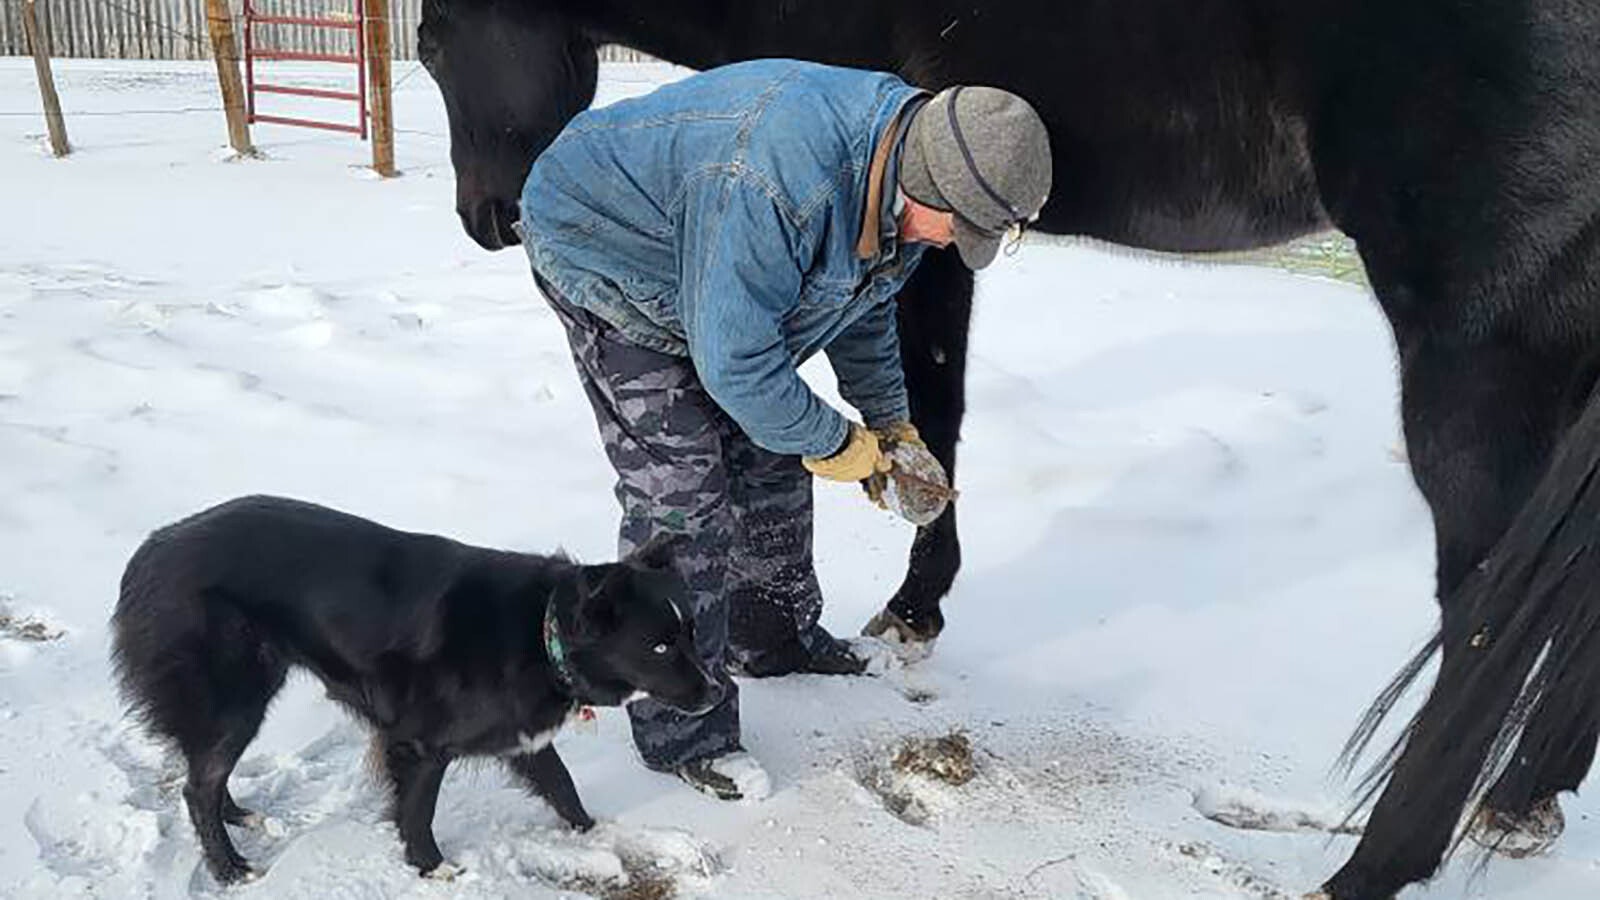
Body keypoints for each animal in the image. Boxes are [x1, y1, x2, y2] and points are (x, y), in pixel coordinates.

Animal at [109, 496, 716, 883]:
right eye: (659, 647)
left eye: (690, 632)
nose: (716, 693)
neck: (542, 635)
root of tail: (152, 550)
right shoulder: (418, 744)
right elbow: (418, 811)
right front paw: (431, 867)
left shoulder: (522, 734)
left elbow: (562, 784)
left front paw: (593, 834)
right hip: (234, 696)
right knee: (198, 787)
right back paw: (230, 868)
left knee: (207, 774)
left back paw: (241, 816)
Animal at [419, 3, 1600, 890]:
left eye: (431, 40)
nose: (489, 217)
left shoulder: (918, 235)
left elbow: (930, 402)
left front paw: (911, 606)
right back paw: (1521, 803)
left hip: (1476, 358)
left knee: (1482, 615)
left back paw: (1379, 862)